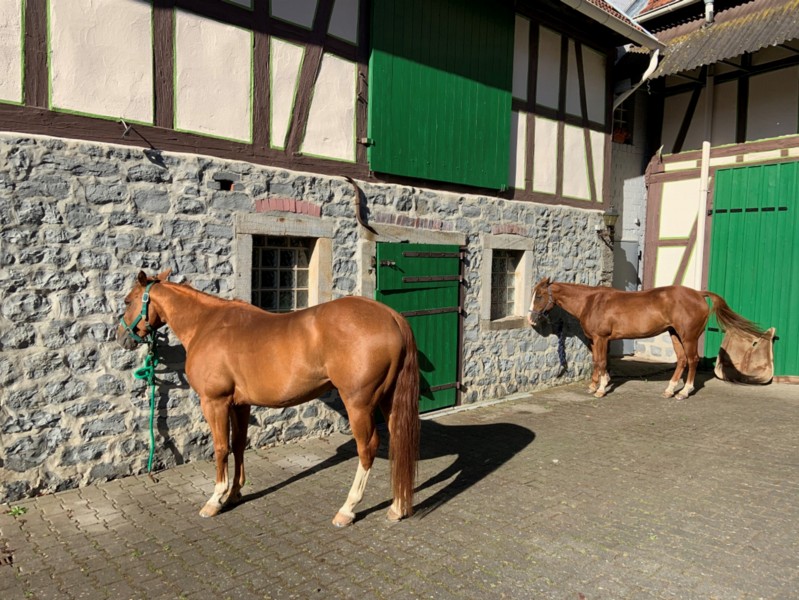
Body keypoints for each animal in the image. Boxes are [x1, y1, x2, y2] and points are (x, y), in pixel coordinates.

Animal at [117, 269, 420, 526]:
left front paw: (215, 500)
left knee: (367, 448)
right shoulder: (240, 404)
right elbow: (238, 445)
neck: (207, 325)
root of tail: (391, 316)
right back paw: (398, 507)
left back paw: (347, 510)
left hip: (359, 404)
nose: (122, 337)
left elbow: (221, 448)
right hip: (388, 400)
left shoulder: (215, 402)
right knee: (398, 439)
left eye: (127, 300)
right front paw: (234, 494)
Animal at [527, 278, 765, 400]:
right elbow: (597, 362)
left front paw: (601, 389)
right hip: (674, 334)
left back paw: (684, 392)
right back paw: (669, 390)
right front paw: (595, 385)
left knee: (692, 360)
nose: (530, 319)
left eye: (539, 296)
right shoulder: (596, 340)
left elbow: (601, 362)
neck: (591, 302)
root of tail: (698, 294)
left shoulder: (601, 338)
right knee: (681, 360)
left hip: (688, 336)